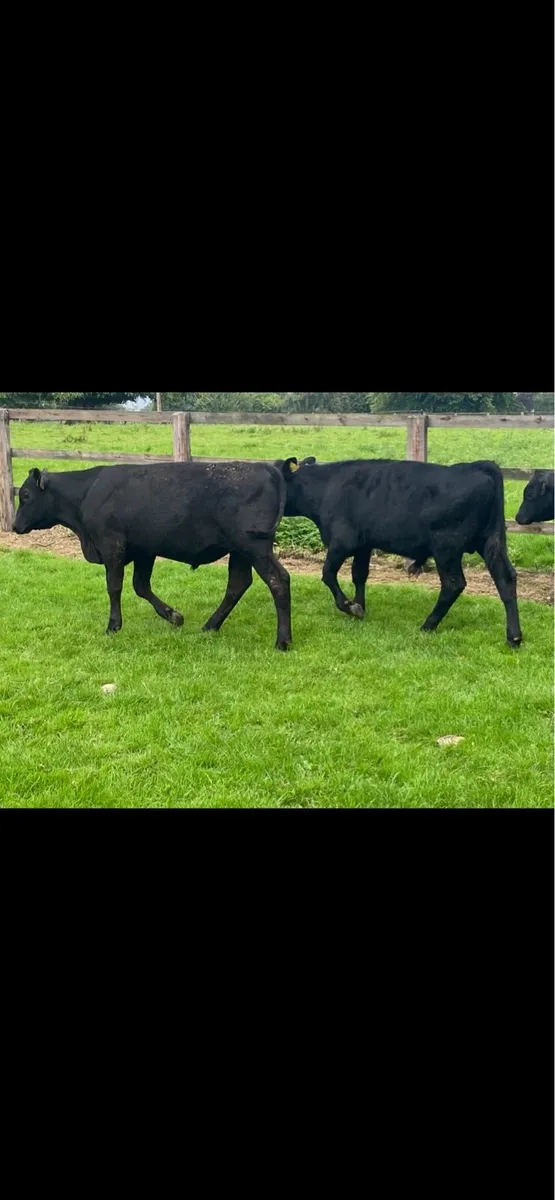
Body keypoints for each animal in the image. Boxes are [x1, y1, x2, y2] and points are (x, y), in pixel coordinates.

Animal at [14, 463, 293, 650]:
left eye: (25, 495)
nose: (15, 526)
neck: (87, 492)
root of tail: (264, 466)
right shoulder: (144, 550)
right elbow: (141, 586)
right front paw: (174, 616)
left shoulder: (112, 545)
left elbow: (114, 587)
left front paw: (113, 626)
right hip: (240, 551)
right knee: (238, 584)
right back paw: (210, 626)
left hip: (254, 546)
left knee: (278, 581)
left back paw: (282, 641)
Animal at [276, 456, 522, 648]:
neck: (325, 488)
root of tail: (475, 466)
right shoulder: (364, 545)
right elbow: (359, 575)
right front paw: (360, 607)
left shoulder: (342, 542)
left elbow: (328, 574)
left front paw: (349, 606)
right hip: (489, 542)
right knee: (505, 578)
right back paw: (514, 637)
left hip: (447, 547)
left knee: (454, 584)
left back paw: (428, 625)